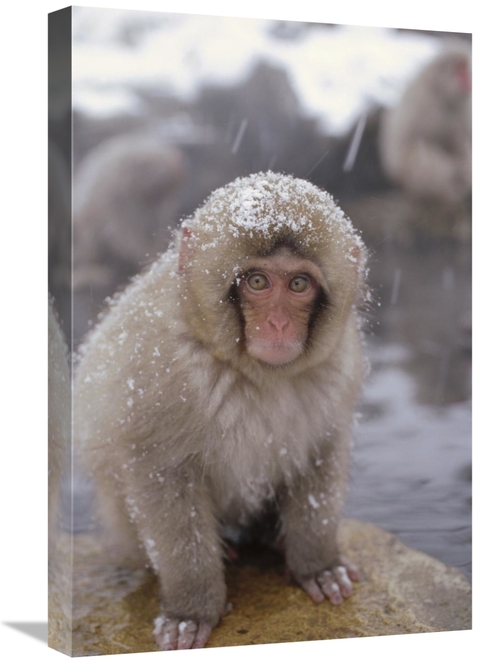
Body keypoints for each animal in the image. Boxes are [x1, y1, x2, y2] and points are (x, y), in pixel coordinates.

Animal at [75, 172, 368, 650]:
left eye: (299, 285)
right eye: (257, 282)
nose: (278, 325)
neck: (255, 373)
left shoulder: (337, 368)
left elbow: (321, 452)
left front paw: (319, 565)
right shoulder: (158, 367)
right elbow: (161, 474)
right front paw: (190, 610)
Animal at [379, 41, 471, 206]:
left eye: (466, 68)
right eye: (460, 70)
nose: (469, 79)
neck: (443, 94)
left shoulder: (463, 108)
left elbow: (459, 136)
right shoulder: (423, 103)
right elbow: (411, 141)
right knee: (419, 152)